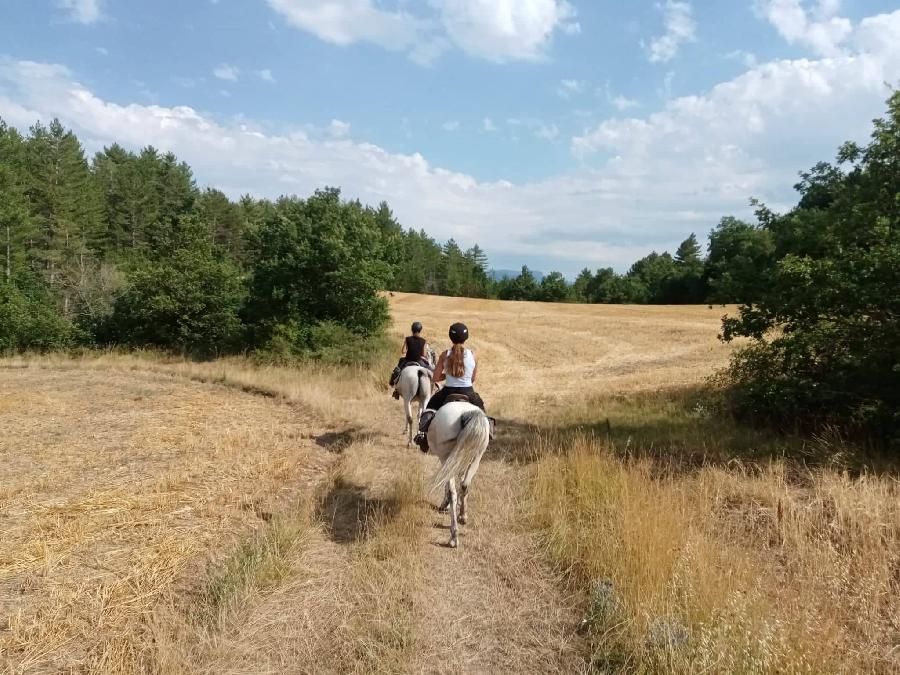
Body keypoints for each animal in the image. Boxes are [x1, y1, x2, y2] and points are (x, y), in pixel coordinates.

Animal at [428, 402, 492, 548]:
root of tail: (469, 413)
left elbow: (448, 488)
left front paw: (444, 505)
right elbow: (462, 479)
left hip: (446, 457)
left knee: (453, 492)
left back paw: (454, 536)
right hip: (476, 457)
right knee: (465, 484)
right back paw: (463, 516)